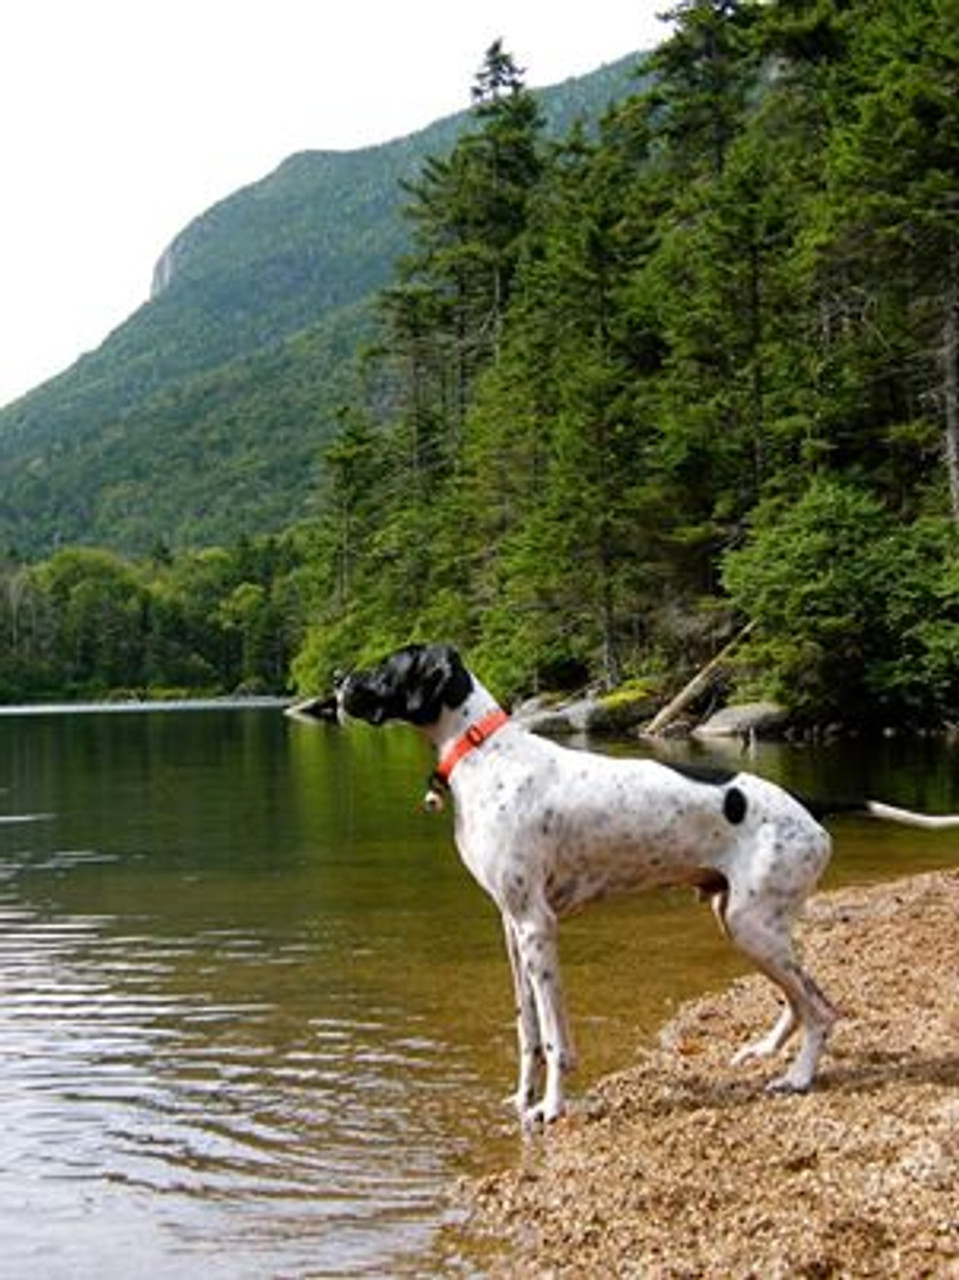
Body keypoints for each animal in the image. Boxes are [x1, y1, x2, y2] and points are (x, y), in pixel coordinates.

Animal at [335, 645, 957, 1126]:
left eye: (387, 667)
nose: (338, 681)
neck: (485, 753)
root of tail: (808, 805)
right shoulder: (511, 928)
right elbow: (528, 1029)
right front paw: (521, 1098)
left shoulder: (538, 927)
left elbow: (554, 1037)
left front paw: (551, 1108)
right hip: (748, 925)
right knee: (798, 1000)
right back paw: (766, 1049)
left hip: (751, 928)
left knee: (822, 1009)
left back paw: (799, 1078)